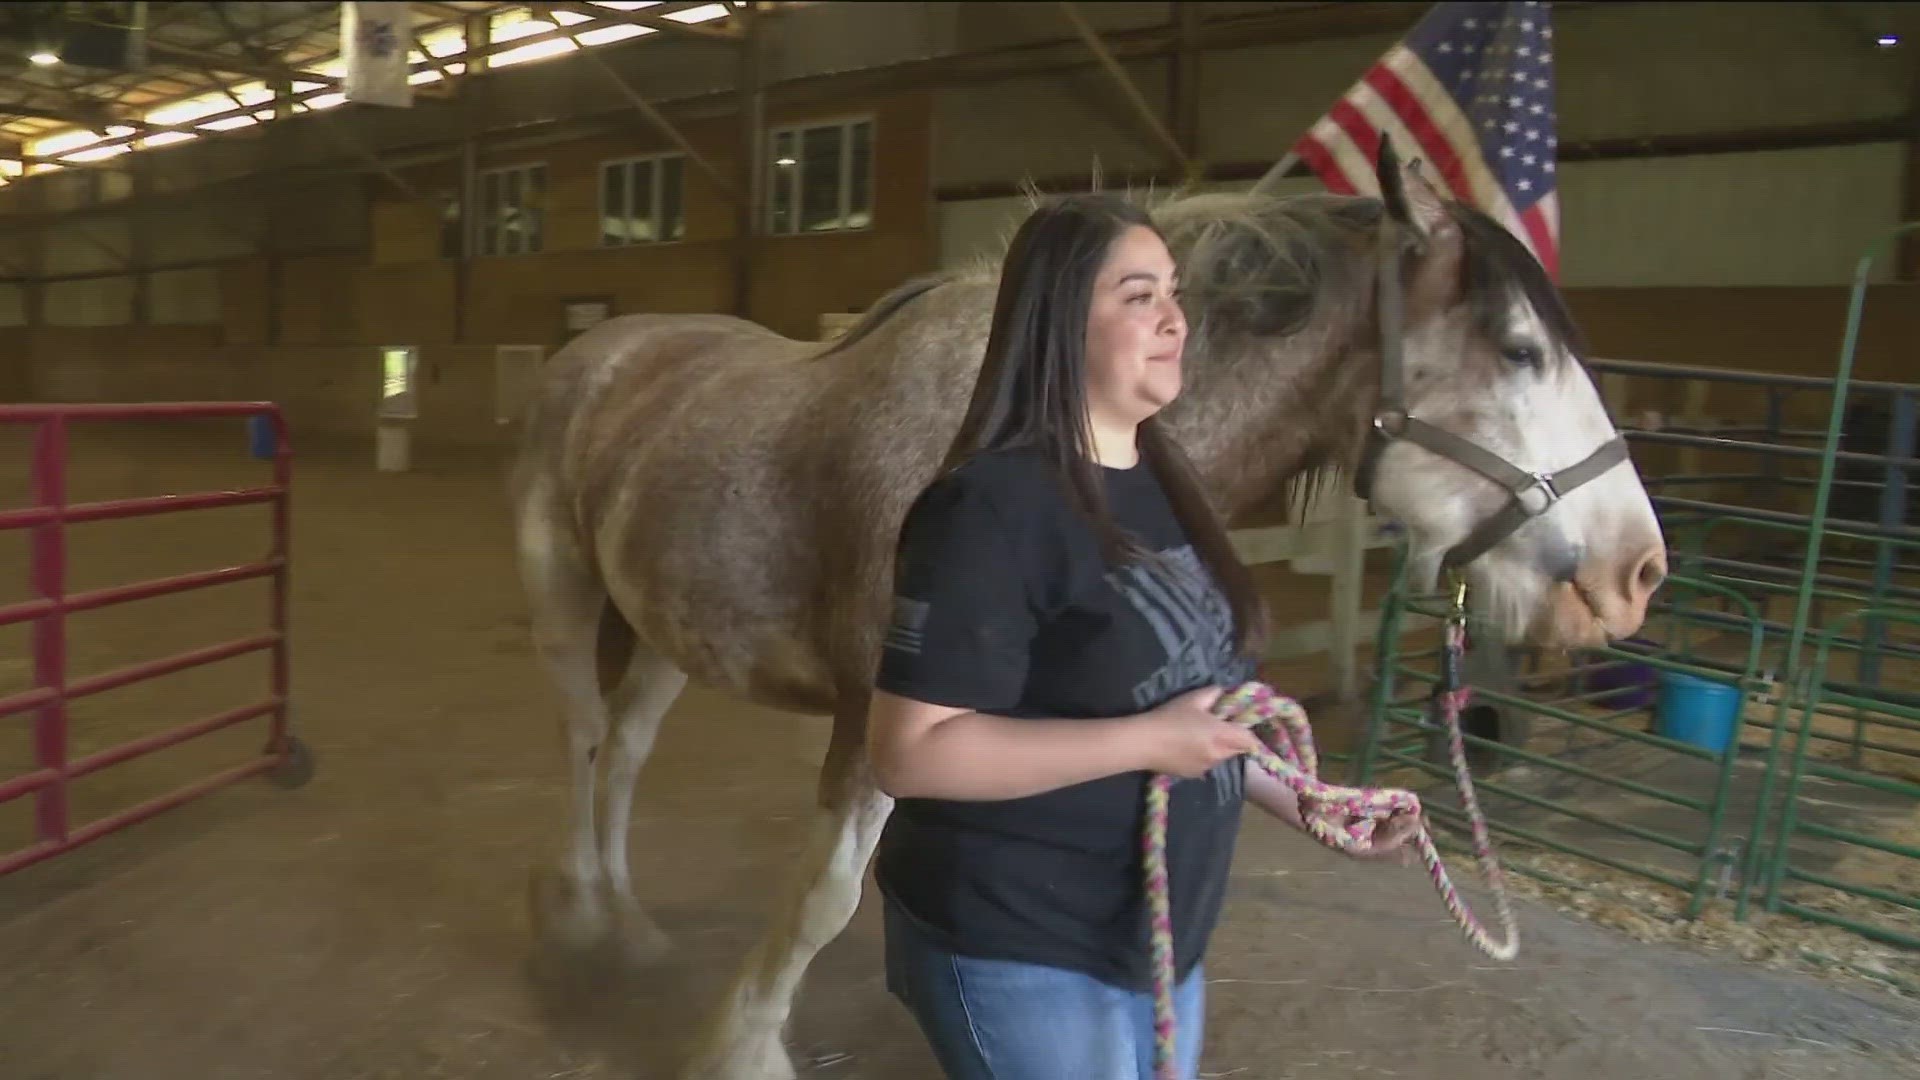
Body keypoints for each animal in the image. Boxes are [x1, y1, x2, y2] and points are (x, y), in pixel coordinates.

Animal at [506, 145, 1666, 1076]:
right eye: (1519, 348)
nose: (1637, 574)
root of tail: (600, 353)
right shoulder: (876, 722)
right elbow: (825, 900)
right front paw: (740, 1048)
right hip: (564, 594)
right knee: (581, 739)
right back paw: (580, 919)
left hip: (668, 631)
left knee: (628, 748)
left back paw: (629, 924)